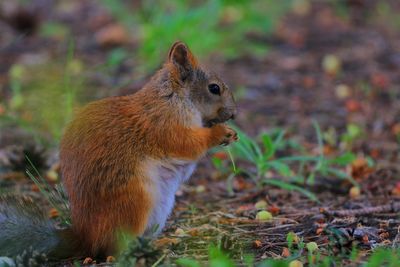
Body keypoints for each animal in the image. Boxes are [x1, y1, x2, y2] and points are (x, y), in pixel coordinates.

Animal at [0, 41, 238, 260]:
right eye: (214, 88)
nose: (233, 113)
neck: (174, 97)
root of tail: (85, 237)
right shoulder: (163, 126)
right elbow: (187, 144)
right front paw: (220, 133)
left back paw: (162, 242)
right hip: (134, 200)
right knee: (113, 249)